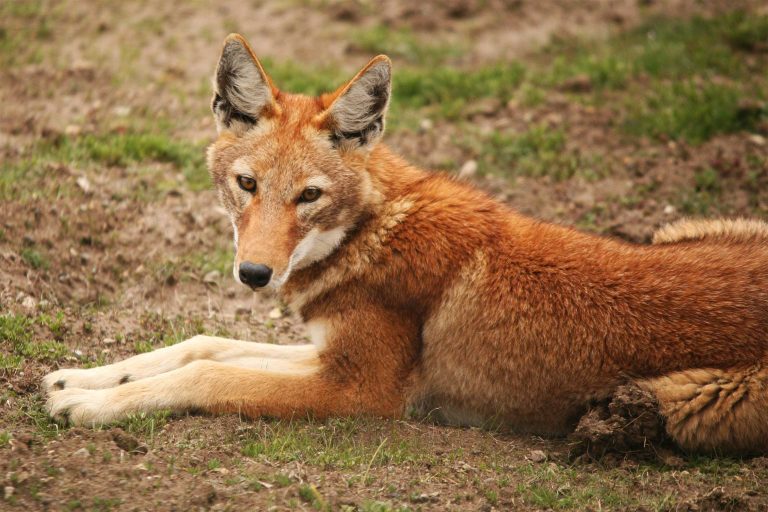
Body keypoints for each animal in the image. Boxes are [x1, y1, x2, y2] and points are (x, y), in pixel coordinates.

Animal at [44, 34, 768, 454]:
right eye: (247, 185)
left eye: (308, 196)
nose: (253, 274)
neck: (370, 232)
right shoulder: (323, 352)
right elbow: (203, 344)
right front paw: (81, 377)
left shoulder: (360, 391)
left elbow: (209, 372)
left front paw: (91, 404)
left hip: (688, 401)